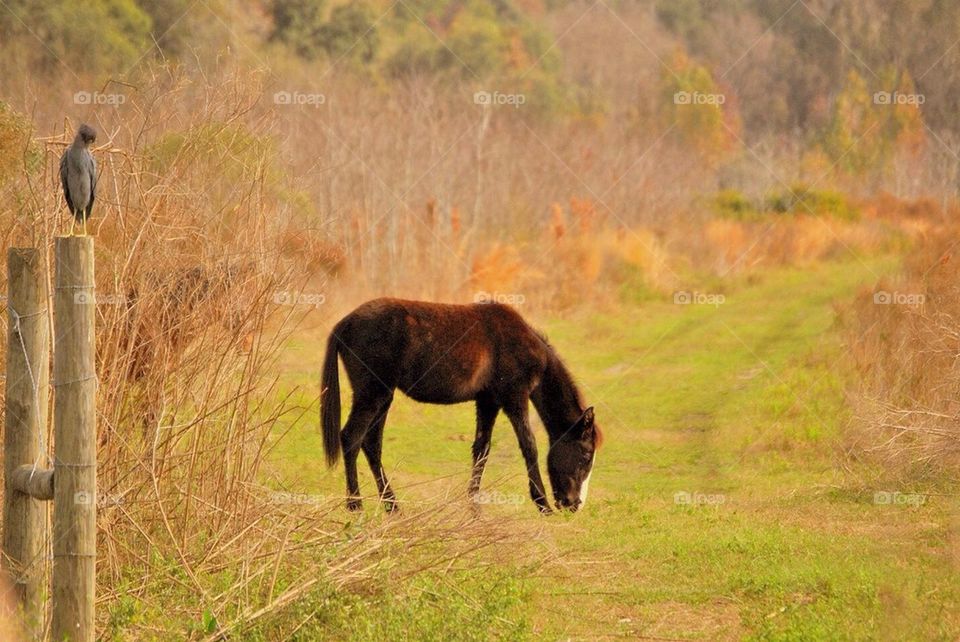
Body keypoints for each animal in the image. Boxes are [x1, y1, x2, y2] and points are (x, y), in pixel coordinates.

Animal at [320, 298, 602, 513]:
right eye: (586, 454)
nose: (574, 504)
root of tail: (345, 323)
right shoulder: (514, 398)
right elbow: (529, 446)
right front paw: (542, 504)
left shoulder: (488, 401)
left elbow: (482, 449)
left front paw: (474, 507)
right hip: (372, 395)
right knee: (351, 438)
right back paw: (355, 505)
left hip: (384, 397)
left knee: (371, 444)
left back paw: (392, 505)